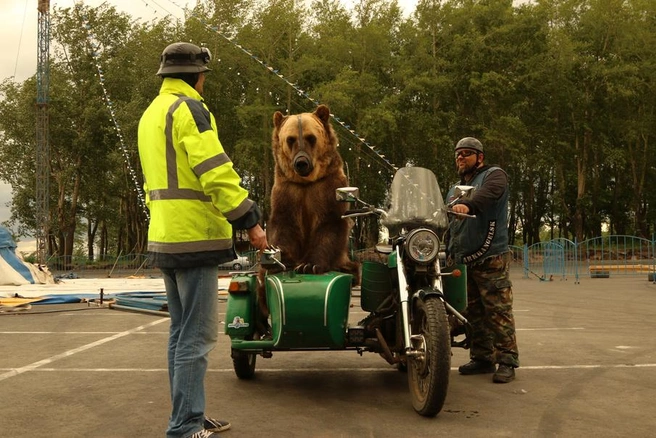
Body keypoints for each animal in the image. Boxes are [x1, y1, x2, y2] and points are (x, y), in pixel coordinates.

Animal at [256, 104, 358, 320]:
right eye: (291, 139)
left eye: (311, 138)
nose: (301, 162)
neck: (306, 182)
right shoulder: (287, 190)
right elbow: (284, 225)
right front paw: (284, 259)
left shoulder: (327, 187)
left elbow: (329, 225)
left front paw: (309, 265)